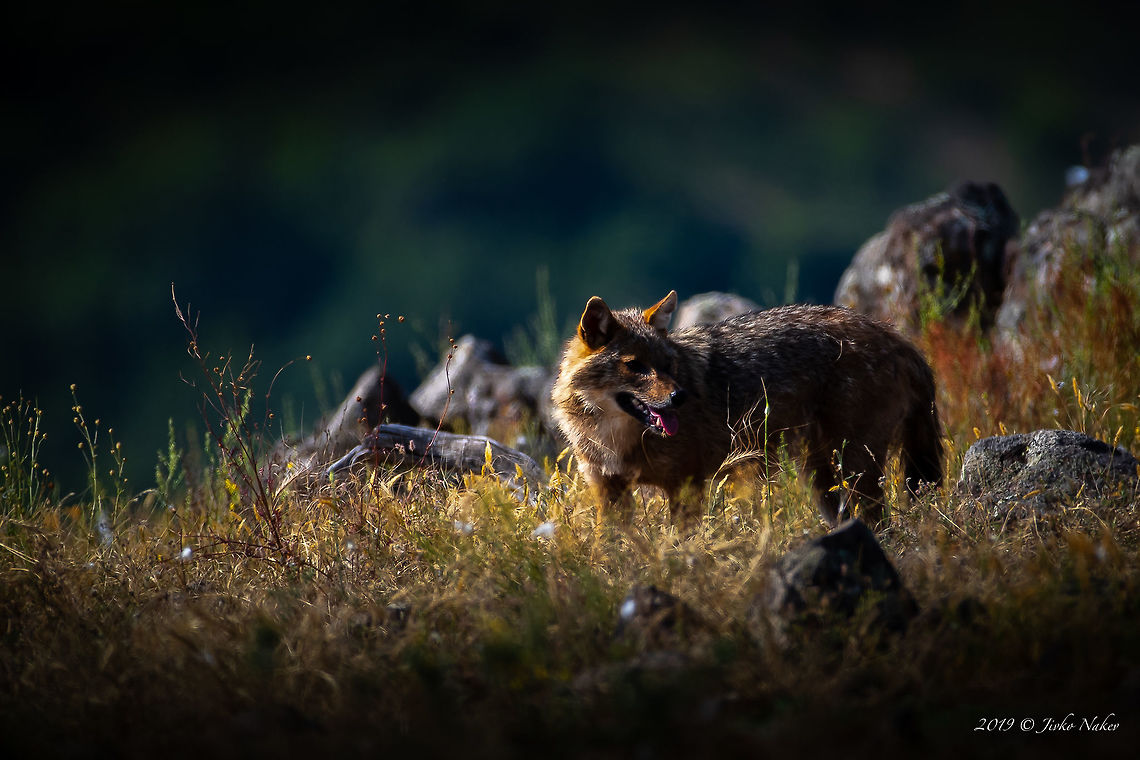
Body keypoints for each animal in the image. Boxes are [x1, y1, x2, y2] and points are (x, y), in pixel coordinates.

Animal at [551, 291, 943, 526]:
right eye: (635, 366)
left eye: (667, 365)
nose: (680, 397)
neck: (614, 437)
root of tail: (895, 335)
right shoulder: (609, 490)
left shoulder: (685, 486)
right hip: (824, 482)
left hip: (852, 470)